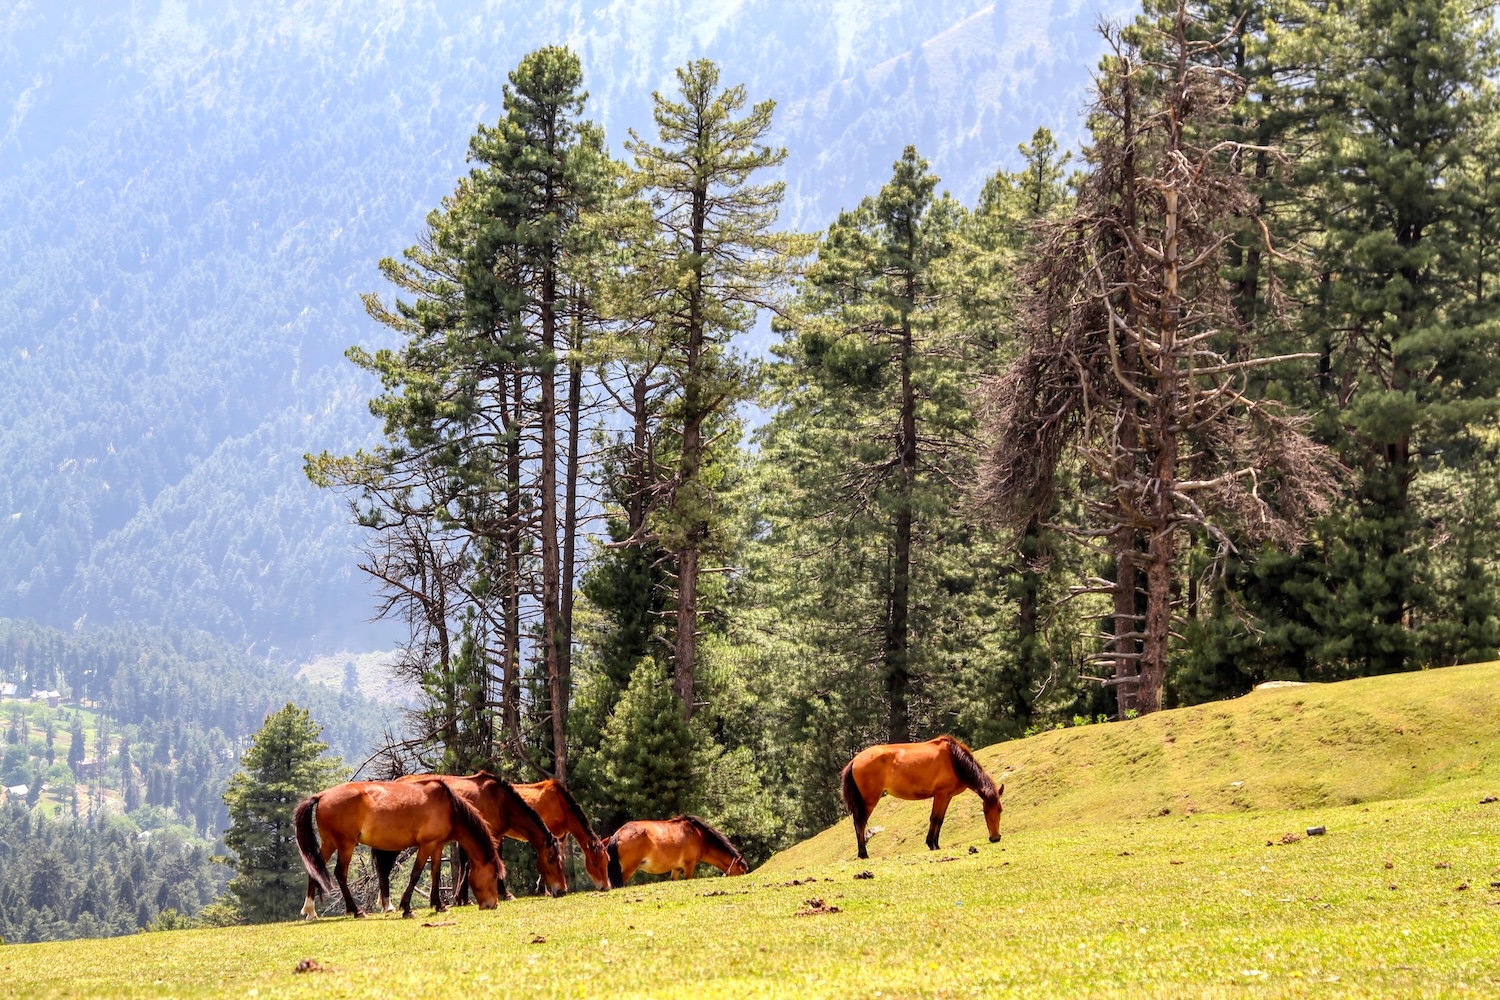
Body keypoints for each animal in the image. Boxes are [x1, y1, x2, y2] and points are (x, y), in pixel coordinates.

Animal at [293, 777, 503, 919]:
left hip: (329, 843)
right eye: (494, 875)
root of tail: (322, 795)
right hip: (345, 845)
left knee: (315, 869)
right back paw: (356, 910)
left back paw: (310, 911)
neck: (449, 807)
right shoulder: (426, 845)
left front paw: (439, 904)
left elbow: (435, 872)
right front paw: (406, 908)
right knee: (340, 874)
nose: (492, 904)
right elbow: (416, 874)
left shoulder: (437, 845)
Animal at [369, 771, 567, 910]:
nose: (562, 890)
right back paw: (388, 906)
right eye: (551, 859)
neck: (501, 801)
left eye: (561, 860)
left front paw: (461, 899)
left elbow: (465, 865)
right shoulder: (492, 836)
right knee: (384, 868)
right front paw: (504, 894)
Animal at [605, 815, 749, 888]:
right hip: (628, 870)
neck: (699, 836)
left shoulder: (676, 869)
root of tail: (618, 834)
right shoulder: (689, 866)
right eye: (742, 871)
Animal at [841, 734, 1004, 859]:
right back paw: (863, 854)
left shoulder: (947, 797)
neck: (954, 759)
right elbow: (934, 818)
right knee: (860, 824)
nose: (995, 838)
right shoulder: (940, 794)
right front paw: (931, 843)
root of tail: (855, 760)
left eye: (1000, 810)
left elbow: (940, 820)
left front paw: (935, 844)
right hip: (869, 800)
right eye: (986, 811)